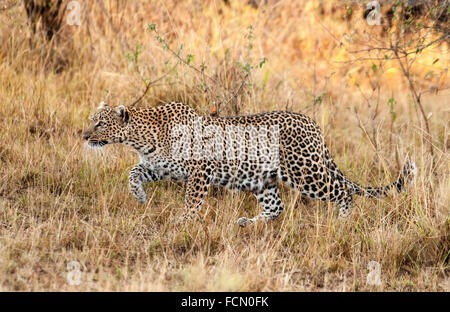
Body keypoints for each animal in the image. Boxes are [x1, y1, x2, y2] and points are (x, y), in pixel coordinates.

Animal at [82, 102, 416, 227]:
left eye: (99, 123)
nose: (83, 135)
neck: (142, 137)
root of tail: (311, 123)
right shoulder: (159, 166)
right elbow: (133, 171)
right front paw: (139, 195)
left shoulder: (199, 170)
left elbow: (192, 200)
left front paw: (183, 221)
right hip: (262, 180)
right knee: (275, 208)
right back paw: (248, 223)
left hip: (305, 173)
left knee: (343, 191)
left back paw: (343, 222)